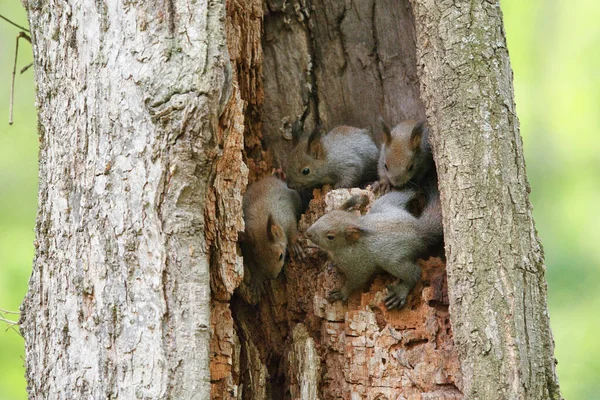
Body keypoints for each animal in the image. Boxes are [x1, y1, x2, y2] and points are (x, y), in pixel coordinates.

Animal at [304, 190, 440, 310]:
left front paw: (342, 292)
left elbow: (355, 281)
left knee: (415, 273)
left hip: (392, 261)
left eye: (330, 237)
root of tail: (419, 230)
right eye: (323, 216)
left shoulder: (359, 266)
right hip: (384, 204)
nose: (308, 233)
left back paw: (401, 291)